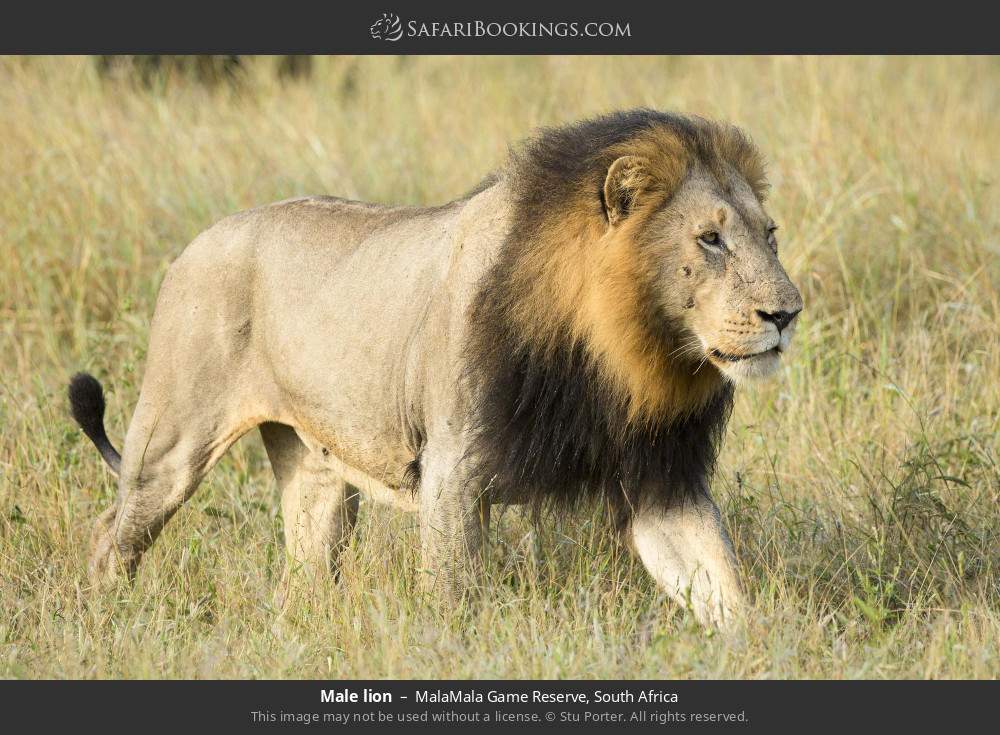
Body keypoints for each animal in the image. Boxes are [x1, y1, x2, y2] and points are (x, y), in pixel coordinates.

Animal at [70, 110, 802, 627]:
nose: (787, 313)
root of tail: (194, 244)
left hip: (316, 473)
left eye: (769, 235)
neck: (614, 356)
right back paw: (110, 621)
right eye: (709, 239)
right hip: (172, 443)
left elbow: (723, 585)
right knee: (110, 534)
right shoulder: (454, 471)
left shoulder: (659, 478)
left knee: (302, 572)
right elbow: (453, 603)